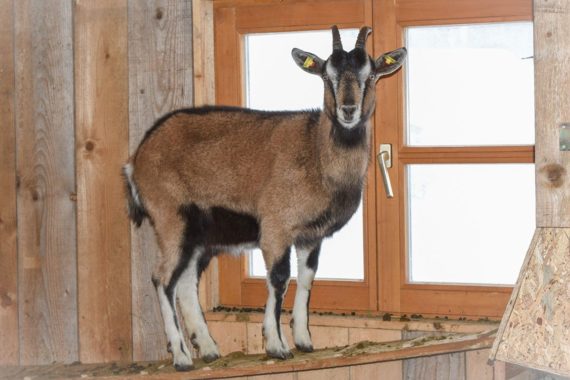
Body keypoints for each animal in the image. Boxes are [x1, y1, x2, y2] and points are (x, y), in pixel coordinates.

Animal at [123, 26, 406, 372]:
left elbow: (307, 278)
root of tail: (137, 159)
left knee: (186, 282)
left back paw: (209, 349)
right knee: (162, 278)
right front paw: (277, 346)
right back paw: (181, 356)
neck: (315, 153)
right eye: (327, 76)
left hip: (198, 236)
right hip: (171, 218)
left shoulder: (310, 236)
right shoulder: (276, 228)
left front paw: (304, 341)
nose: (348, 111)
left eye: (371, 75)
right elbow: (280, 278)